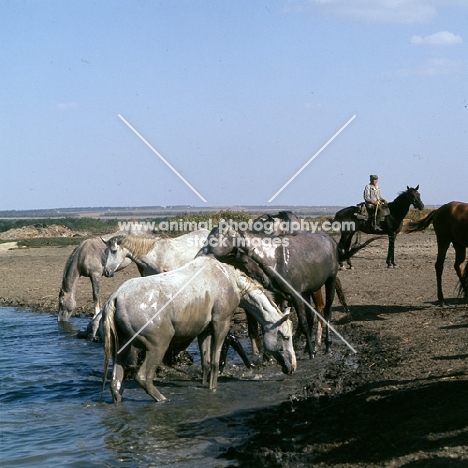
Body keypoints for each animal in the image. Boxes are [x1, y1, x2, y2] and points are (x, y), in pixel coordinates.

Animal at [101, 256, 296, 402]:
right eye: (285, 336)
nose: (292, 367)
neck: (230, 281)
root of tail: (116, 297)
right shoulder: (221, 323)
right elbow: (216, 362)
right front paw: (213, 389)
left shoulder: (205, 331)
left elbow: (206, 362)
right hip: (158, 346)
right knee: (143, 377)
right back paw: (162, 399)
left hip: (122, 349)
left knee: (115, 383)